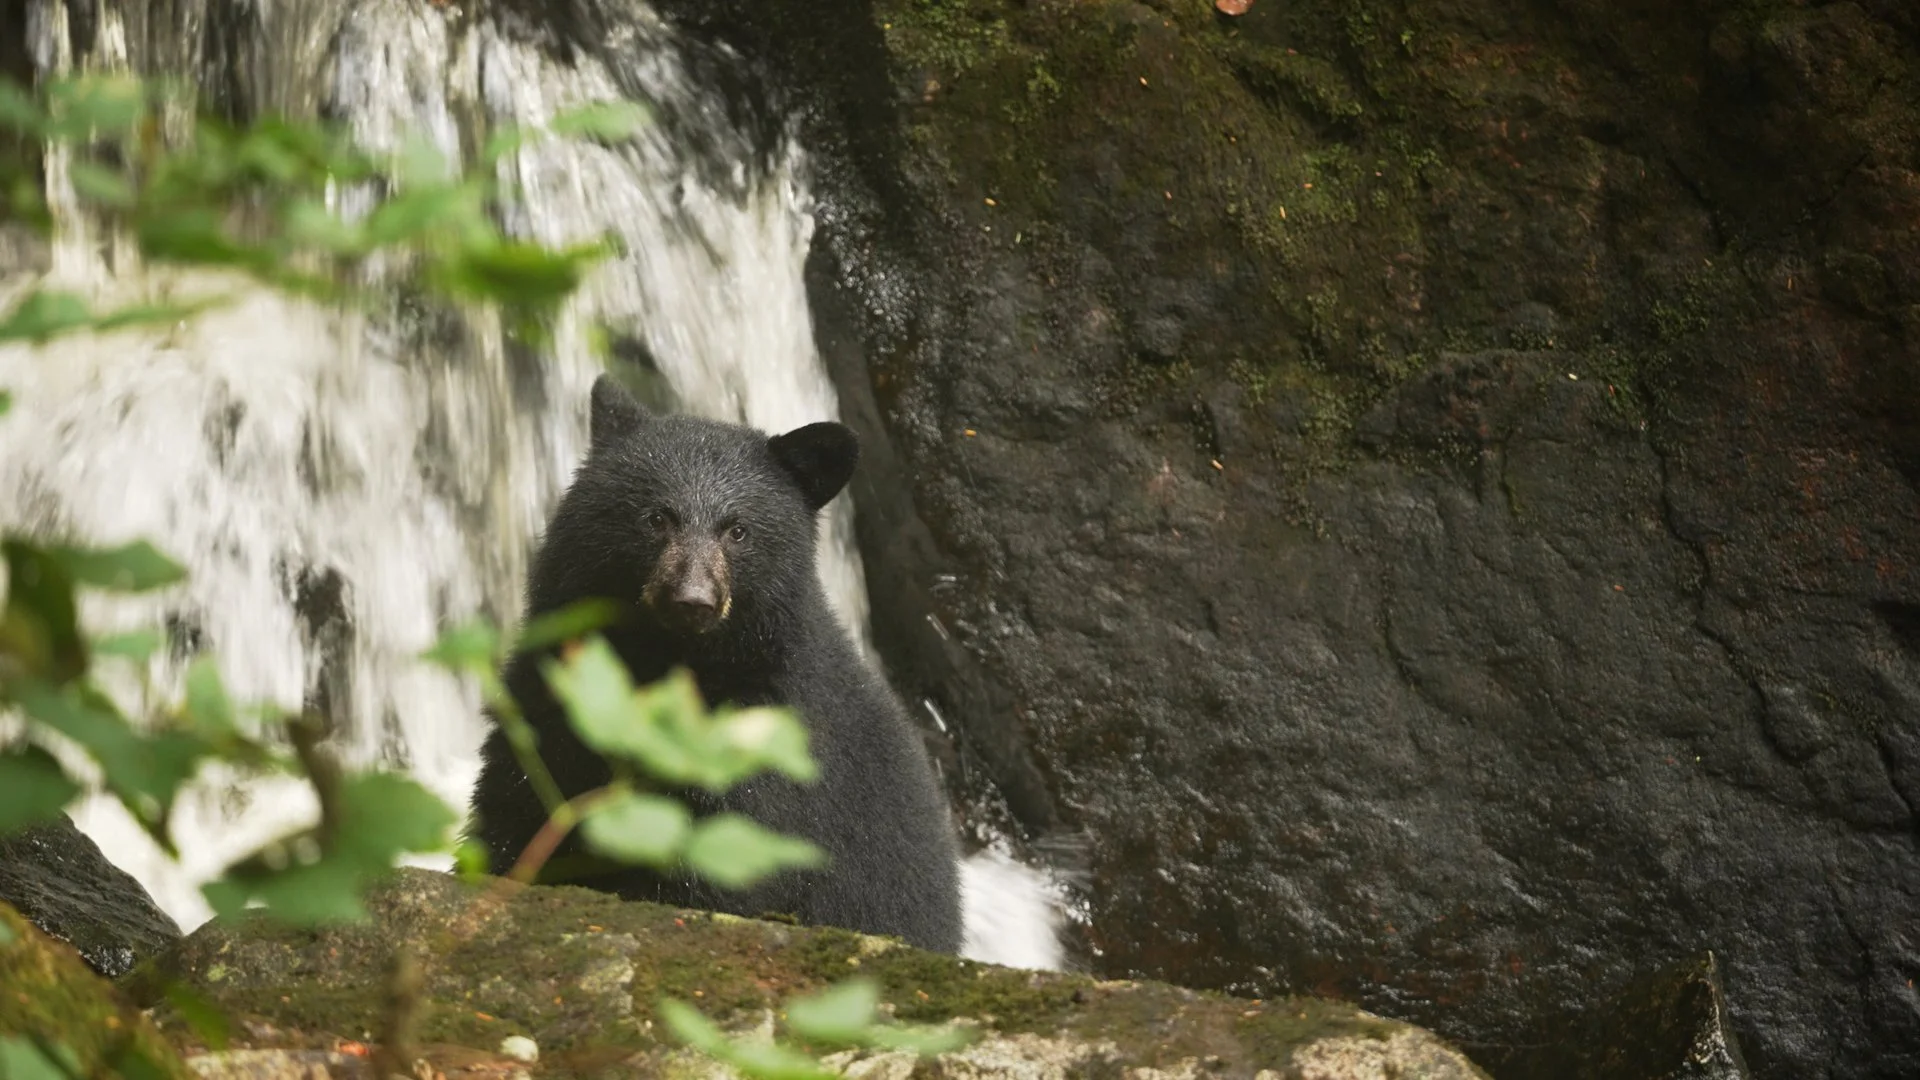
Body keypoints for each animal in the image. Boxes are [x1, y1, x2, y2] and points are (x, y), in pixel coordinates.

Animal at [468, 374, 962, 954]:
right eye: (658, 517)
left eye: (738, 530)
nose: (692, 600)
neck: (664, 665)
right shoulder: (558, 694)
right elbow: (517, 805)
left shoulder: (765, 750)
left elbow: (714, 866)